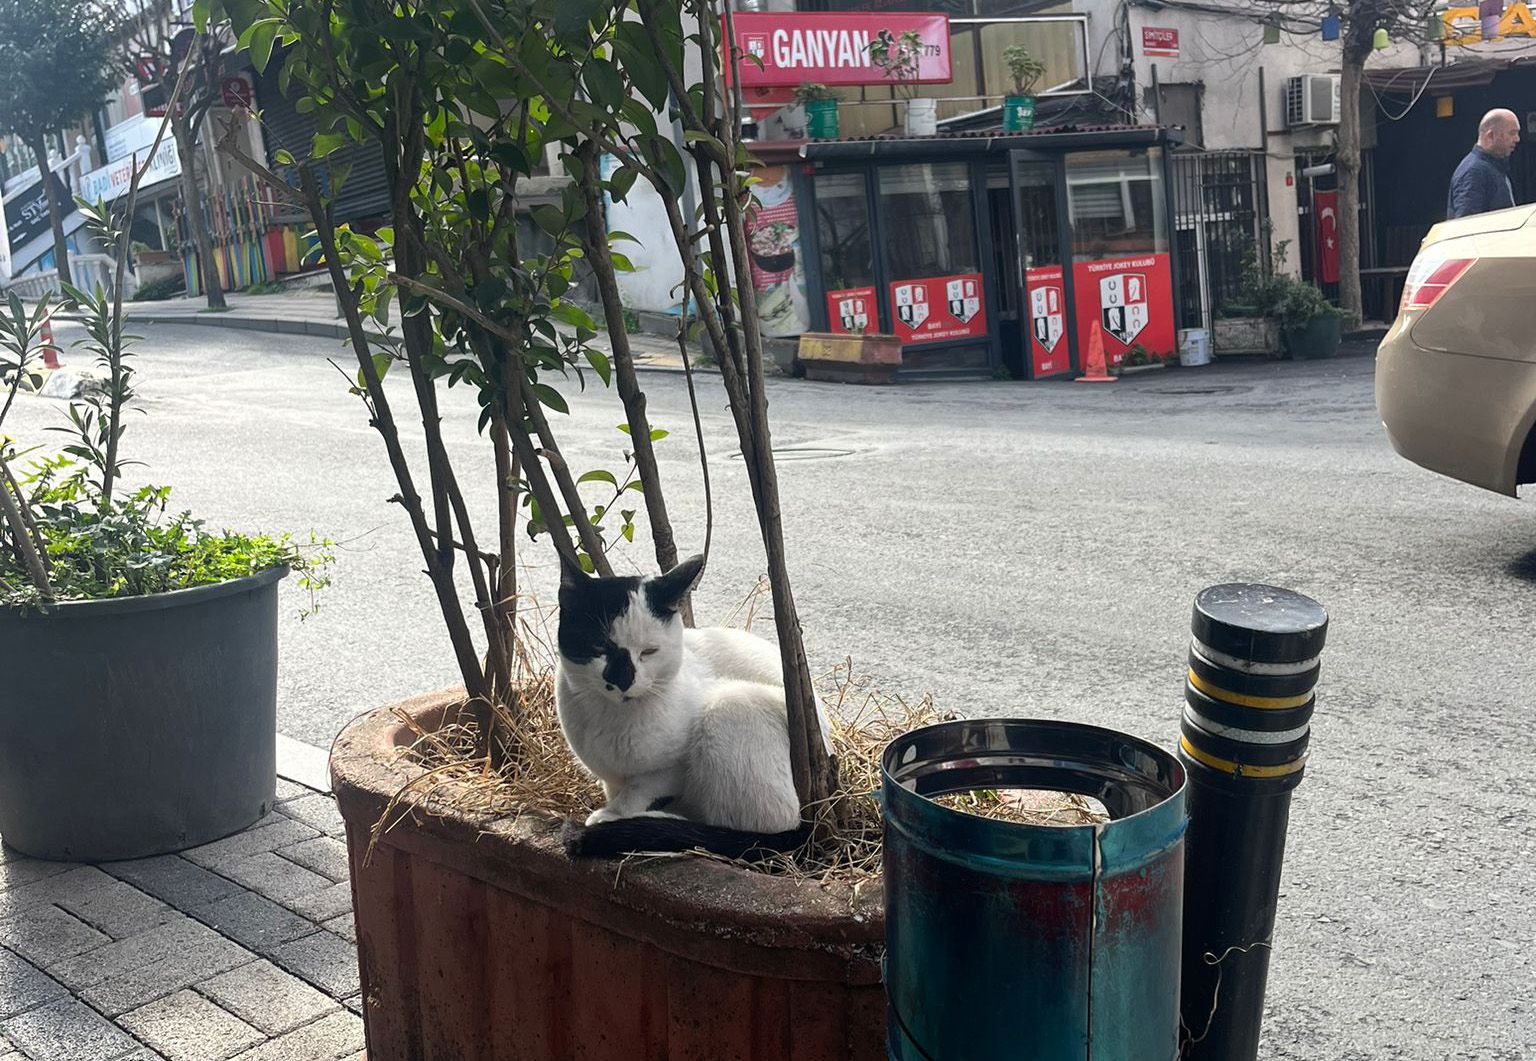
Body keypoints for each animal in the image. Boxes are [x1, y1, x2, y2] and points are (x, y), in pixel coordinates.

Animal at [556, 552, 811, 859]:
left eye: (649, 651)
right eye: (598, 647)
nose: (623, 680)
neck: (612, 719)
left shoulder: (669, 770)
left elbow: (638, 791)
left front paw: (614, 816)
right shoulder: (611, 778)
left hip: (729, 706)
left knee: (756, 829)